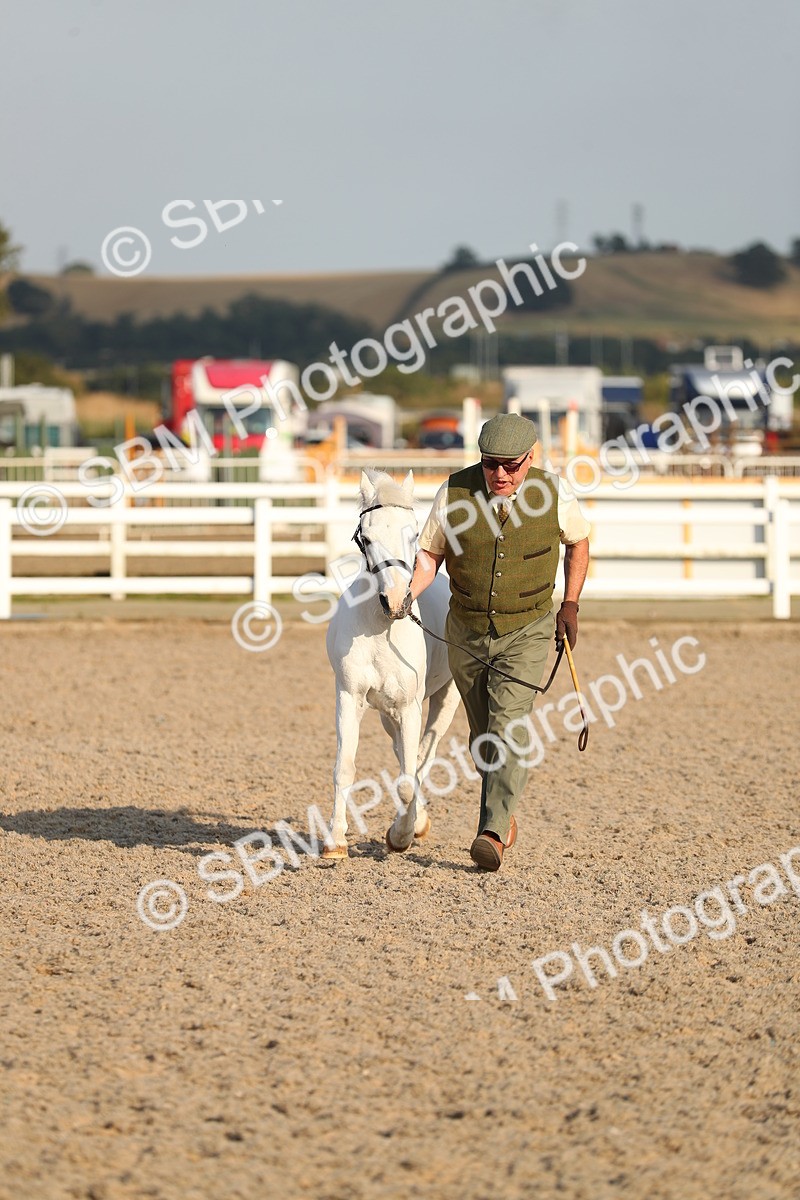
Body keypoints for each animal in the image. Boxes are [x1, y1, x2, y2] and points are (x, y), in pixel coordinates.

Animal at [324, 468, 461, 859]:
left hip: (444, 701)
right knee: (404, 752)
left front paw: (400, 835)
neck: (379, 629)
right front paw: (335, 841)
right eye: (365, 537)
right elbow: (344, 768)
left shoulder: (410, 707)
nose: (397, 600)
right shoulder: (349, 698)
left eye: (414, 533)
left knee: (422, 757)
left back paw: (415, 823)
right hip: (387, 713)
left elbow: (406, 780)